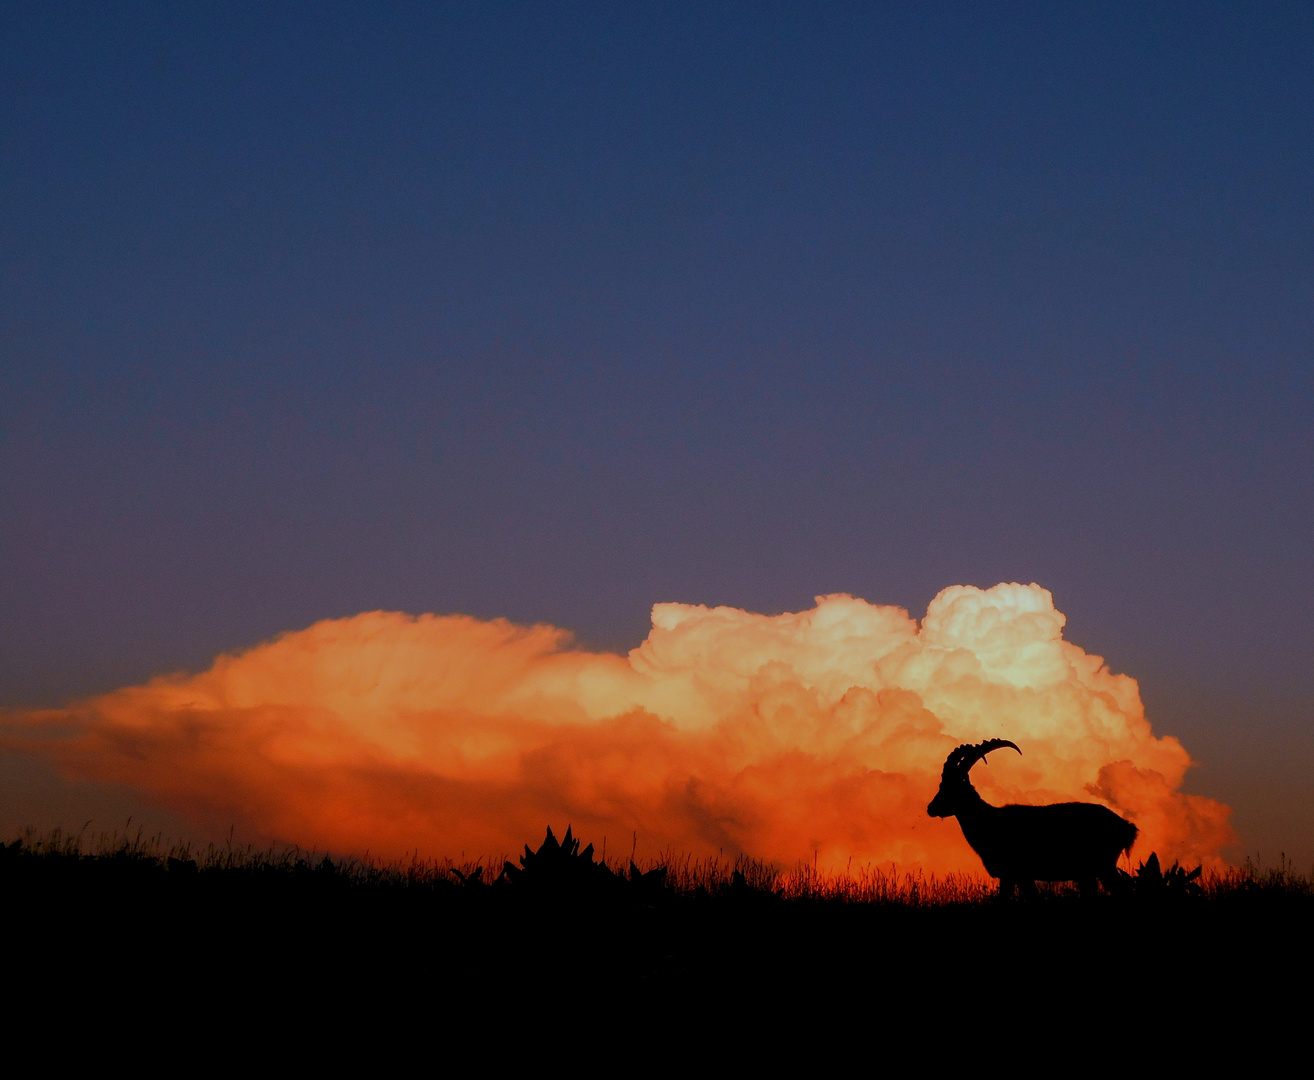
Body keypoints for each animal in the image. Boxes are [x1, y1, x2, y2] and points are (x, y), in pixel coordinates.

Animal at [925, 741, 1140, 898]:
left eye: (951, 788)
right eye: (941, 785)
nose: (931, 808)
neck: (989, 820)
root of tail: (1126, 826)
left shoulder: (1015, 873)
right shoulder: (1016, 877)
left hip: (1103, 866)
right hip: (1092, 872)